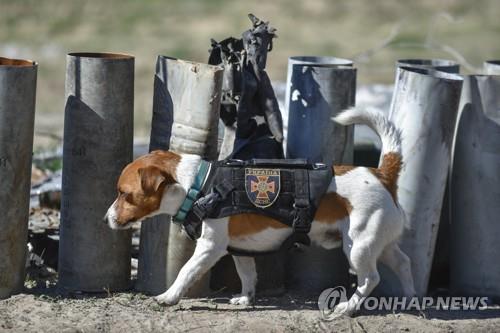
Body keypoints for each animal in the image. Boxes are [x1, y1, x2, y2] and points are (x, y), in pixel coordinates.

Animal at [104, 107, 414, 316]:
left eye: (124, 194)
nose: (106, 219)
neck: (198, 184)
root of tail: (381, 174)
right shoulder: (240, 250)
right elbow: (248, 275)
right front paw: (246, 298)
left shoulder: (209, 248)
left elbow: (185, 272)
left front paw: (169, 296)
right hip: (380, 244)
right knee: (403, 263)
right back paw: (410, 299)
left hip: (358, 246)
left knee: (370, 278)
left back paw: (348, 307)